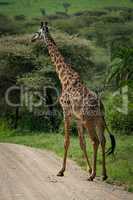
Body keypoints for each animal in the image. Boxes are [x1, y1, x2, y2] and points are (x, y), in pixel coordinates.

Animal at [31, 21, 115, 181]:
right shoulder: (77, 118)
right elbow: (81, 143)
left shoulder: (66, 113)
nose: (32, 39)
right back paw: (104, 174)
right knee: (103, 140)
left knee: (95, 141)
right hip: (99, 120)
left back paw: (93, 176)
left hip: (89, 120)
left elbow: (67, 141)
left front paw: (61, 171)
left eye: (37, 32)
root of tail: (100, 106)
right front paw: (88, 169)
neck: (64, 78)